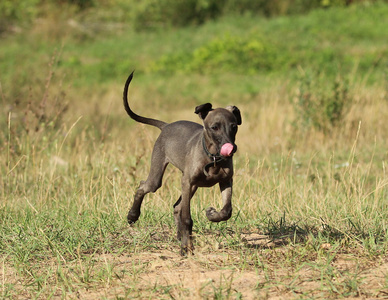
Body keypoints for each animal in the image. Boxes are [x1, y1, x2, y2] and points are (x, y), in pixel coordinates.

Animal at [123, 71, 241, 254]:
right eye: (214, 127)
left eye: (234, 126)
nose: (232, 148)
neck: (212, 158)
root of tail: (166, 126)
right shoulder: (187, 181)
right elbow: (187, 218)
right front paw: (187, 247)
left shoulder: (226, 180)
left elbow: (227, 210)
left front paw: (212, 214)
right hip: (161, 176)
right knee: (143, 187)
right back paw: (132, 215)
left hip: (191, 185)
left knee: (176, 207)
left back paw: (179, 235)